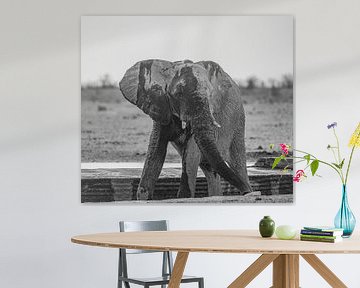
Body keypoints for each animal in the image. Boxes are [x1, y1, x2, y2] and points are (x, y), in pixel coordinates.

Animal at [119, 60, 252, 200]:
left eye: (210, 95)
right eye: (178, 94)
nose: (246, 192)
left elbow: (191, 152)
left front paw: (184, 197)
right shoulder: (162, 107)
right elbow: (156, 150)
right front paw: (144, 198)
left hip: (238, 124)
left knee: (238, 165)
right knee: (211, 170)